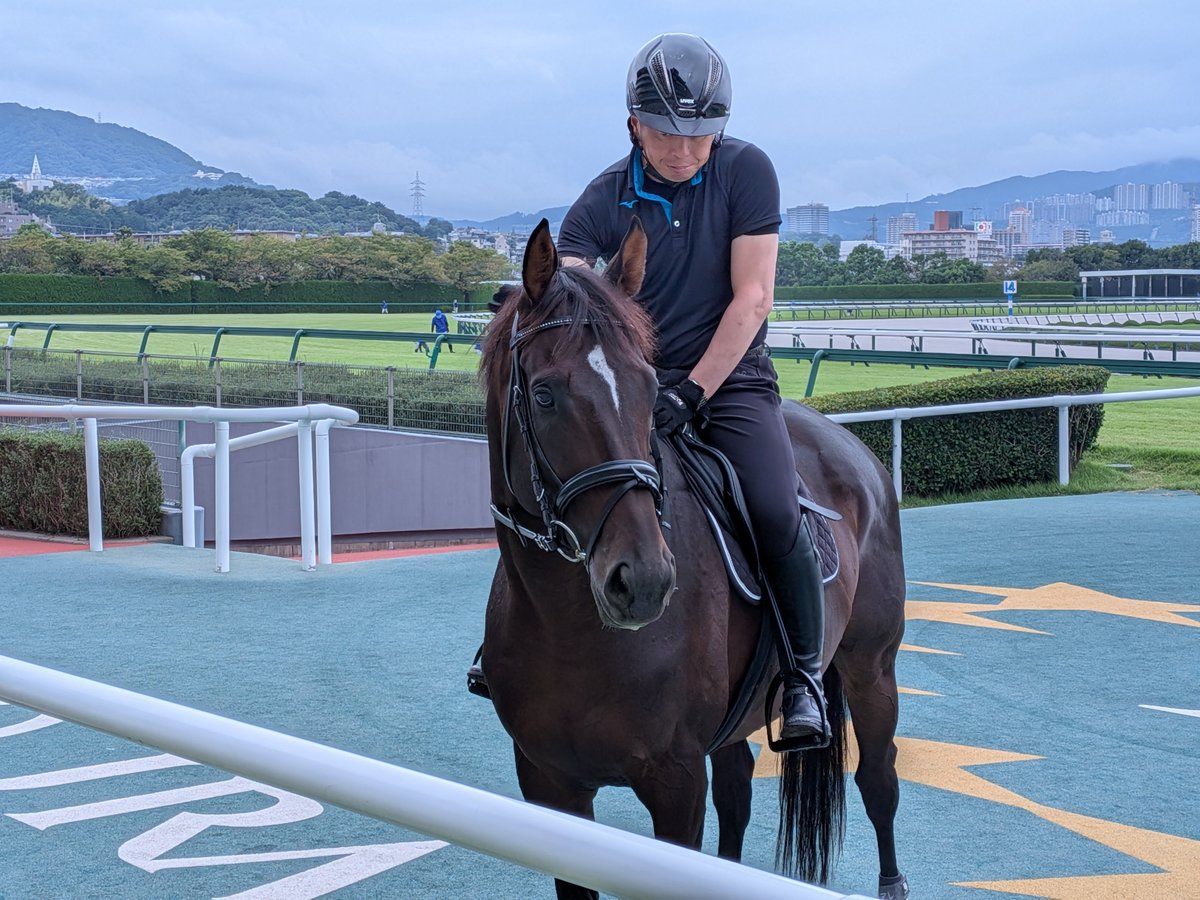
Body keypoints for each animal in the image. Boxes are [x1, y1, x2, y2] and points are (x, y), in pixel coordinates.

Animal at [479, 218, 909, 900]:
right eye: (544, 395)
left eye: (652, 386)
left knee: (878, 780)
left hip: (872, 668)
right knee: (737, 787)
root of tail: (851, 445)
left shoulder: (675, 782)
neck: (567, 627)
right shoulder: (548, 784)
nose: (644, 581)